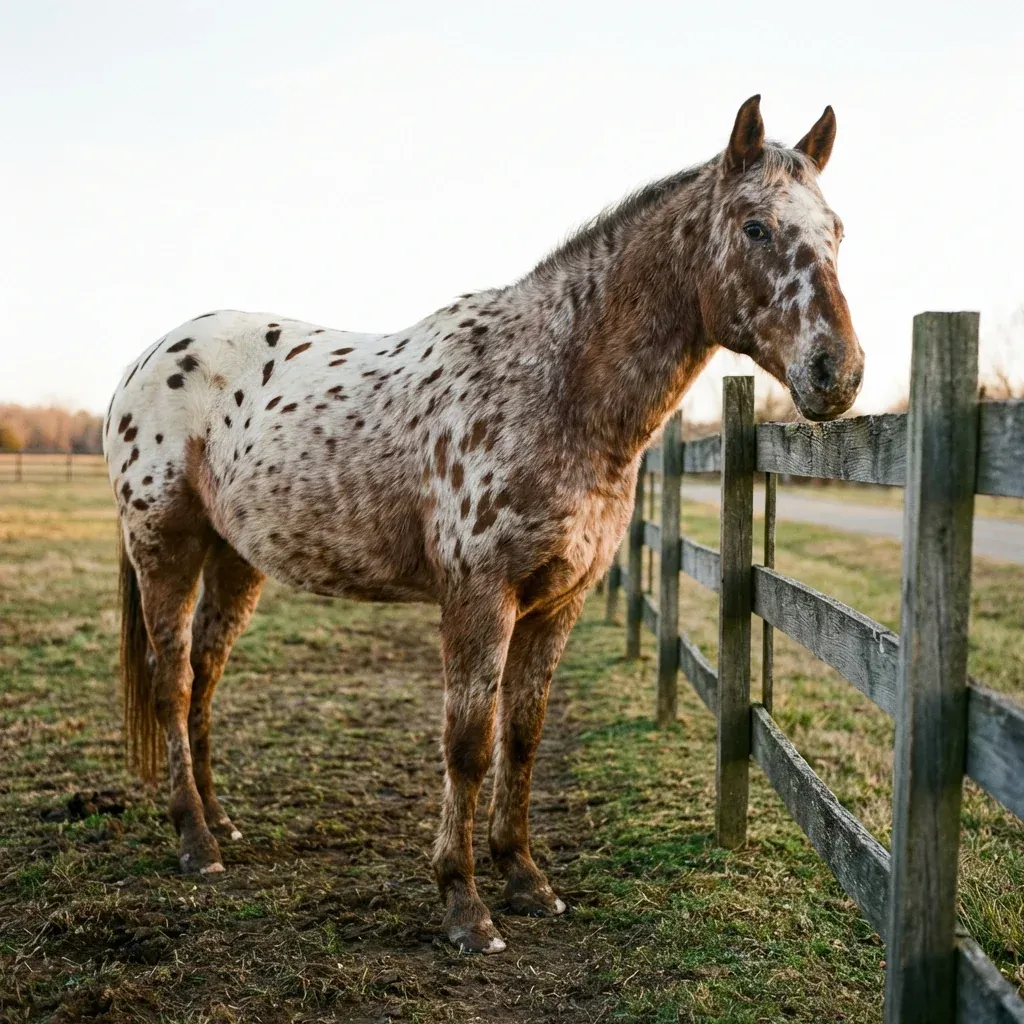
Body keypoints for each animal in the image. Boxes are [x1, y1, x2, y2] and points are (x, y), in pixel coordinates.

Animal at [102, 95, 863, 954]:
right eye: (756, 227)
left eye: (838, 230)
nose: (838, 373)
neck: (553, 386)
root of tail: (145, 361)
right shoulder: (478, 598)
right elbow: (468, 745)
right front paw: (465, 906)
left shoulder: (557, 603)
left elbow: (521, 739)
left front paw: (527, 880)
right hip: (165, 548)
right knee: (172, 682)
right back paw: (195, 842)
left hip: (237, 560)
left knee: (205, 674)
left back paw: (222, 823)